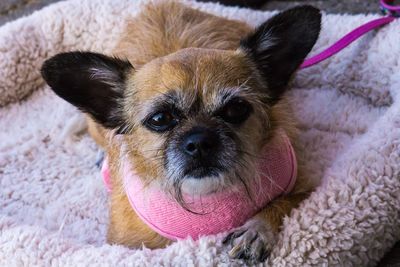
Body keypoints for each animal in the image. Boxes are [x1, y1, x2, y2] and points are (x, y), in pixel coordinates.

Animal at [40, 1, 322, 264]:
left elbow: (284, 203)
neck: (207, 197)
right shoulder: (126, 244)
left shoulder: (305, 190)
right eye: (160, 119)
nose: (199, 142)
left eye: (236, 109)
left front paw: (257, 229)